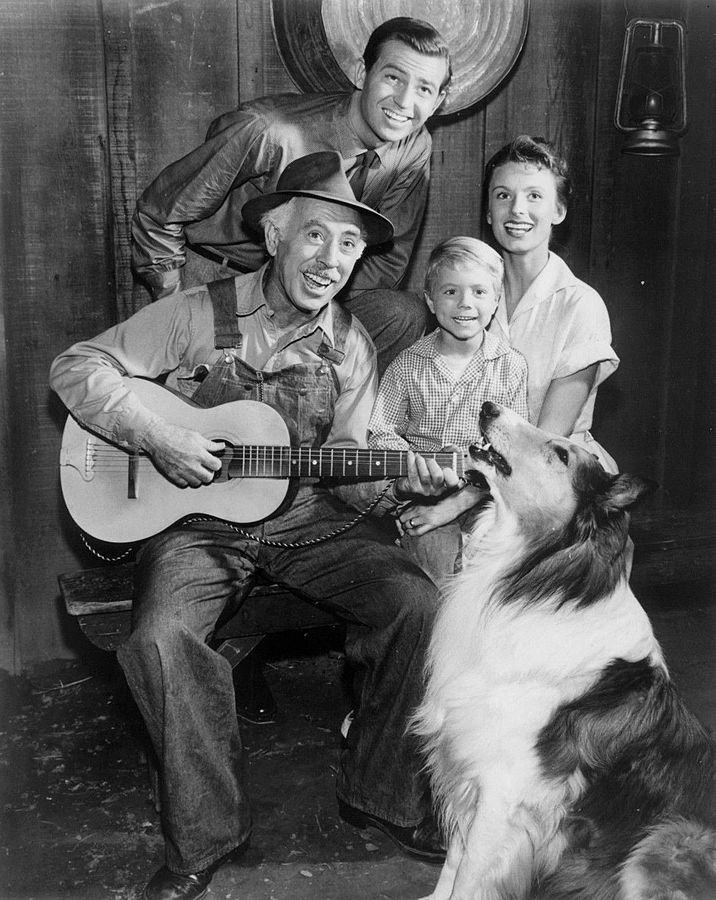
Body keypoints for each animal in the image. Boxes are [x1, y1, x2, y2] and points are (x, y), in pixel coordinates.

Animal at [414, 402, 716, 900]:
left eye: (560, 453)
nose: (488, 406)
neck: (538, 577)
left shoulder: (503, 791)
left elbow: (470, 874)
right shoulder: (470, 760)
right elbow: (453, 864)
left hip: (665, 841)